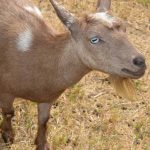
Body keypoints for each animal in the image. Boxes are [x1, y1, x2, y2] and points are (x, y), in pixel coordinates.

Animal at [0, 0, 146, 149]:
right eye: (94, 39)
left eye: (125, 28)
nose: (140, 62)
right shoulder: (6, 92)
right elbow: (8, 113)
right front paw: (8, 137)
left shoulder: (48, 98)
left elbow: (44, 120)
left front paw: (42, 144)